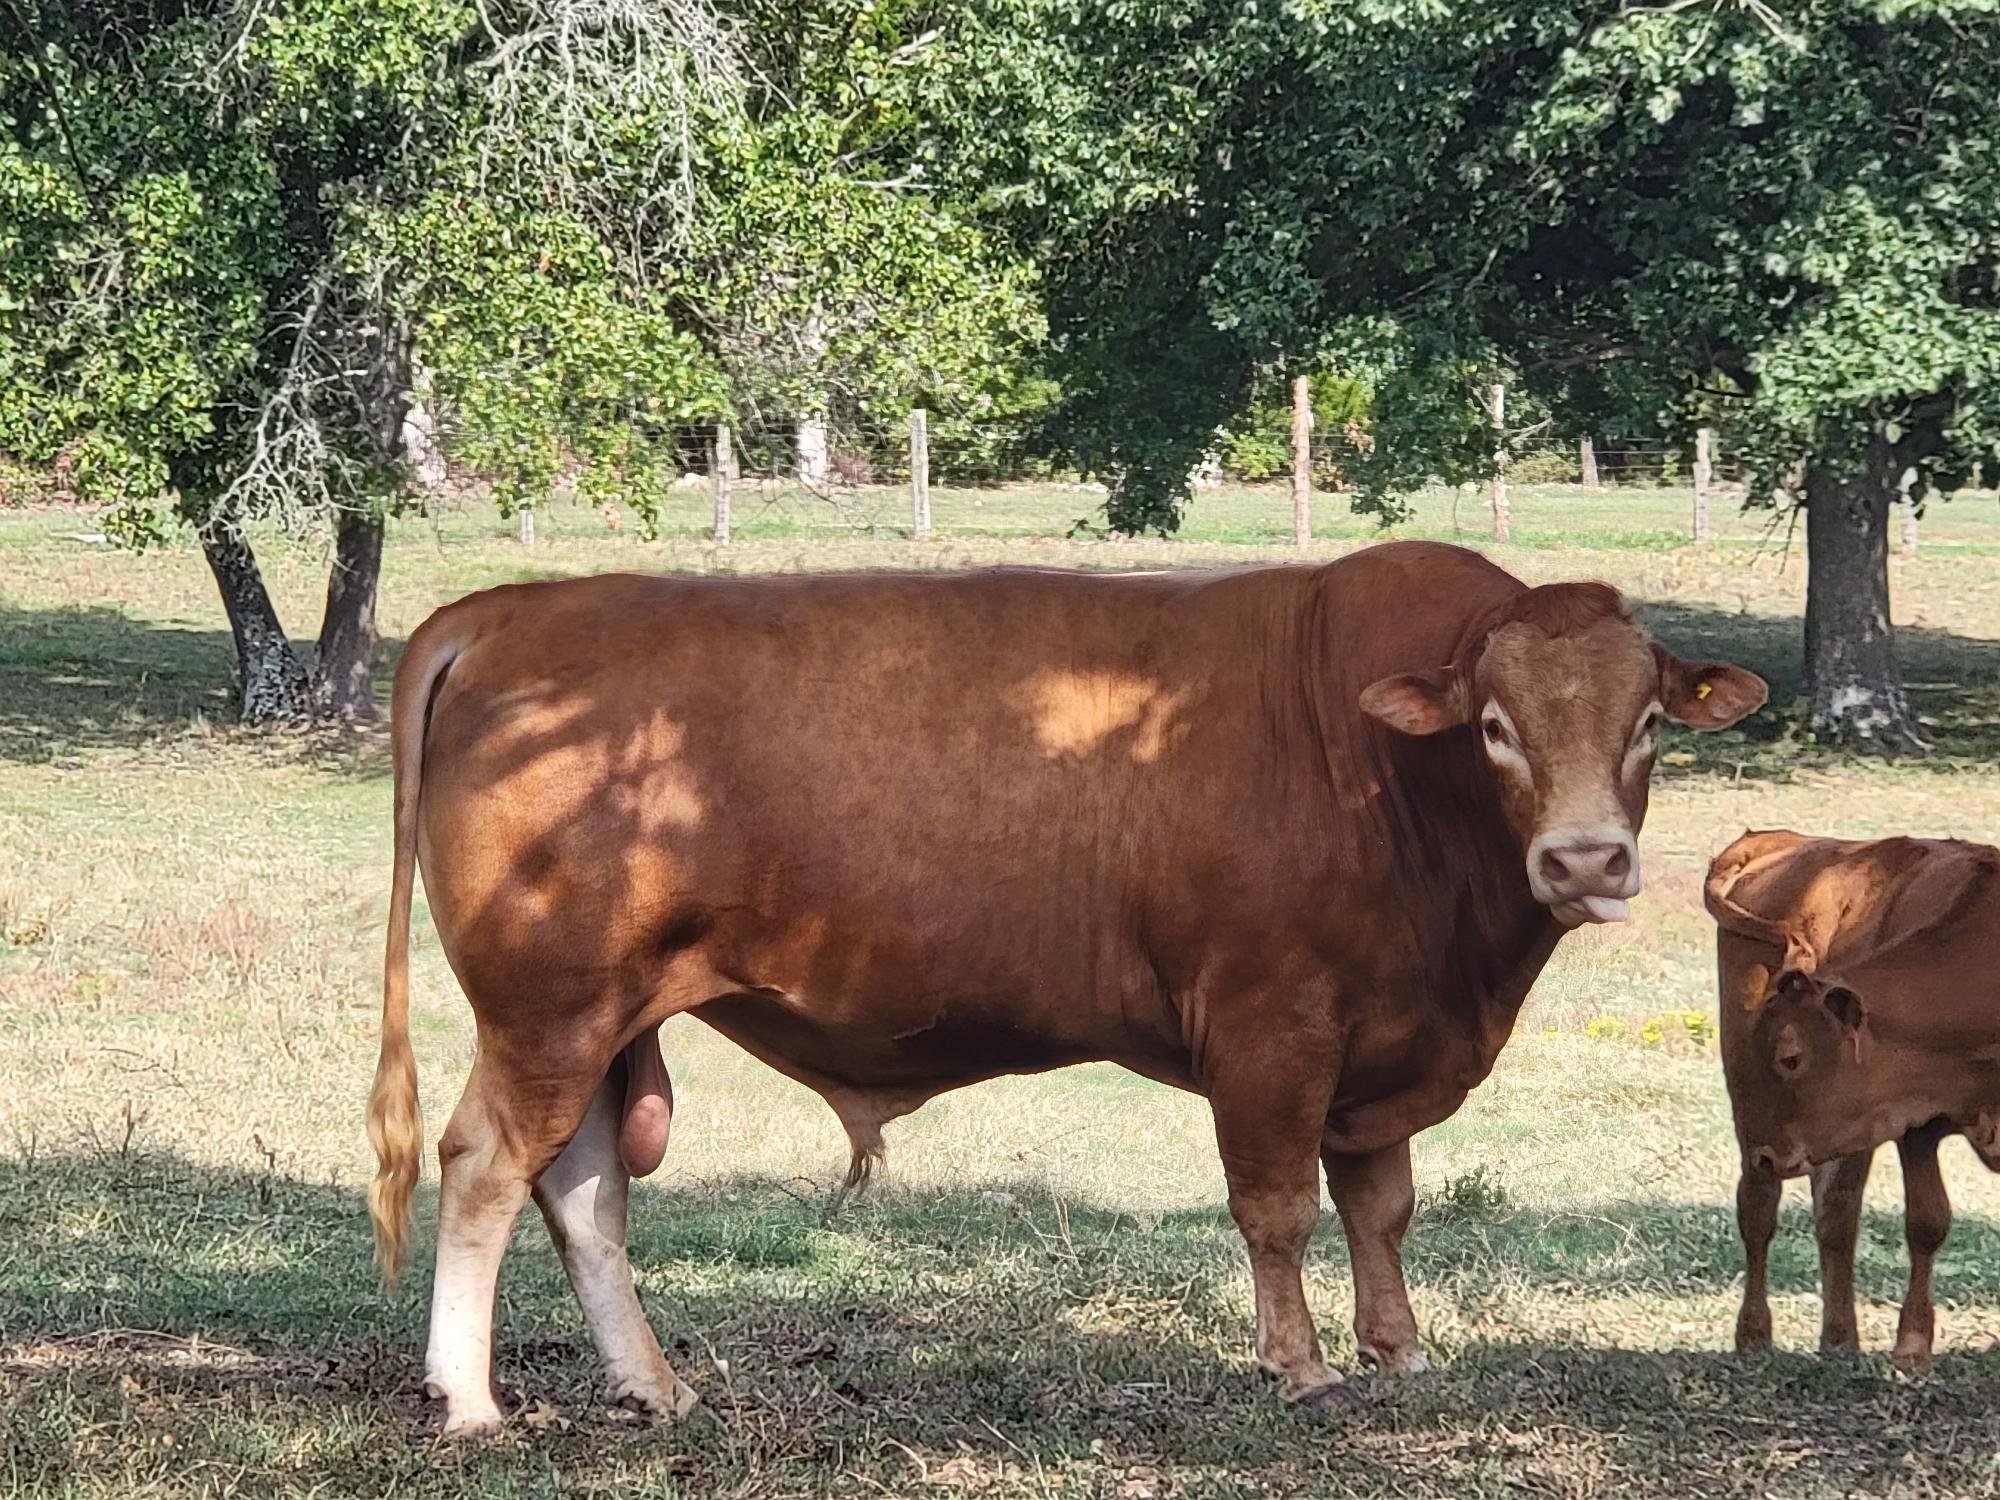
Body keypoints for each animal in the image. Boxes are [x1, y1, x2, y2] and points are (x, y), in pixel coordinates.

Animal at [366, 540, 1765, 1436]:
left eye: (1646, 722)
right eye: (1493, 725)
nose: (1583, 859)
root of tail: (507, 611)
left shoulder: (1379, 1044)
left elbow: (1381, 1207)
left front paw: (1399, 1355)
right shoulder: (1272, 1028)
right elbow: (1277, 1208)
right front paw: (1300, 1368)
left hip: (605, 1020)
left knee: (583, 1189)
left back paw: (654, 1388)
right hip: (548, 1010)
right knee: (486, 1165)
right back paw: (471, 1401)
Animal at [1706, 828, 2000, 1367]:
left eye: (1790, 1056)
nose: (1768, 1153)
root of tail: (1778, 840)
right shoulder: (1917, 1123)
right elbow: (1927, 1222)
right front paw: (1912, 1347)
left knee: (1835, 1215)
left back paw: (1839, 1338)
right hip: (1754, 1123)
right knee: (1761, 1210)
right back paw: (1755, 1334)